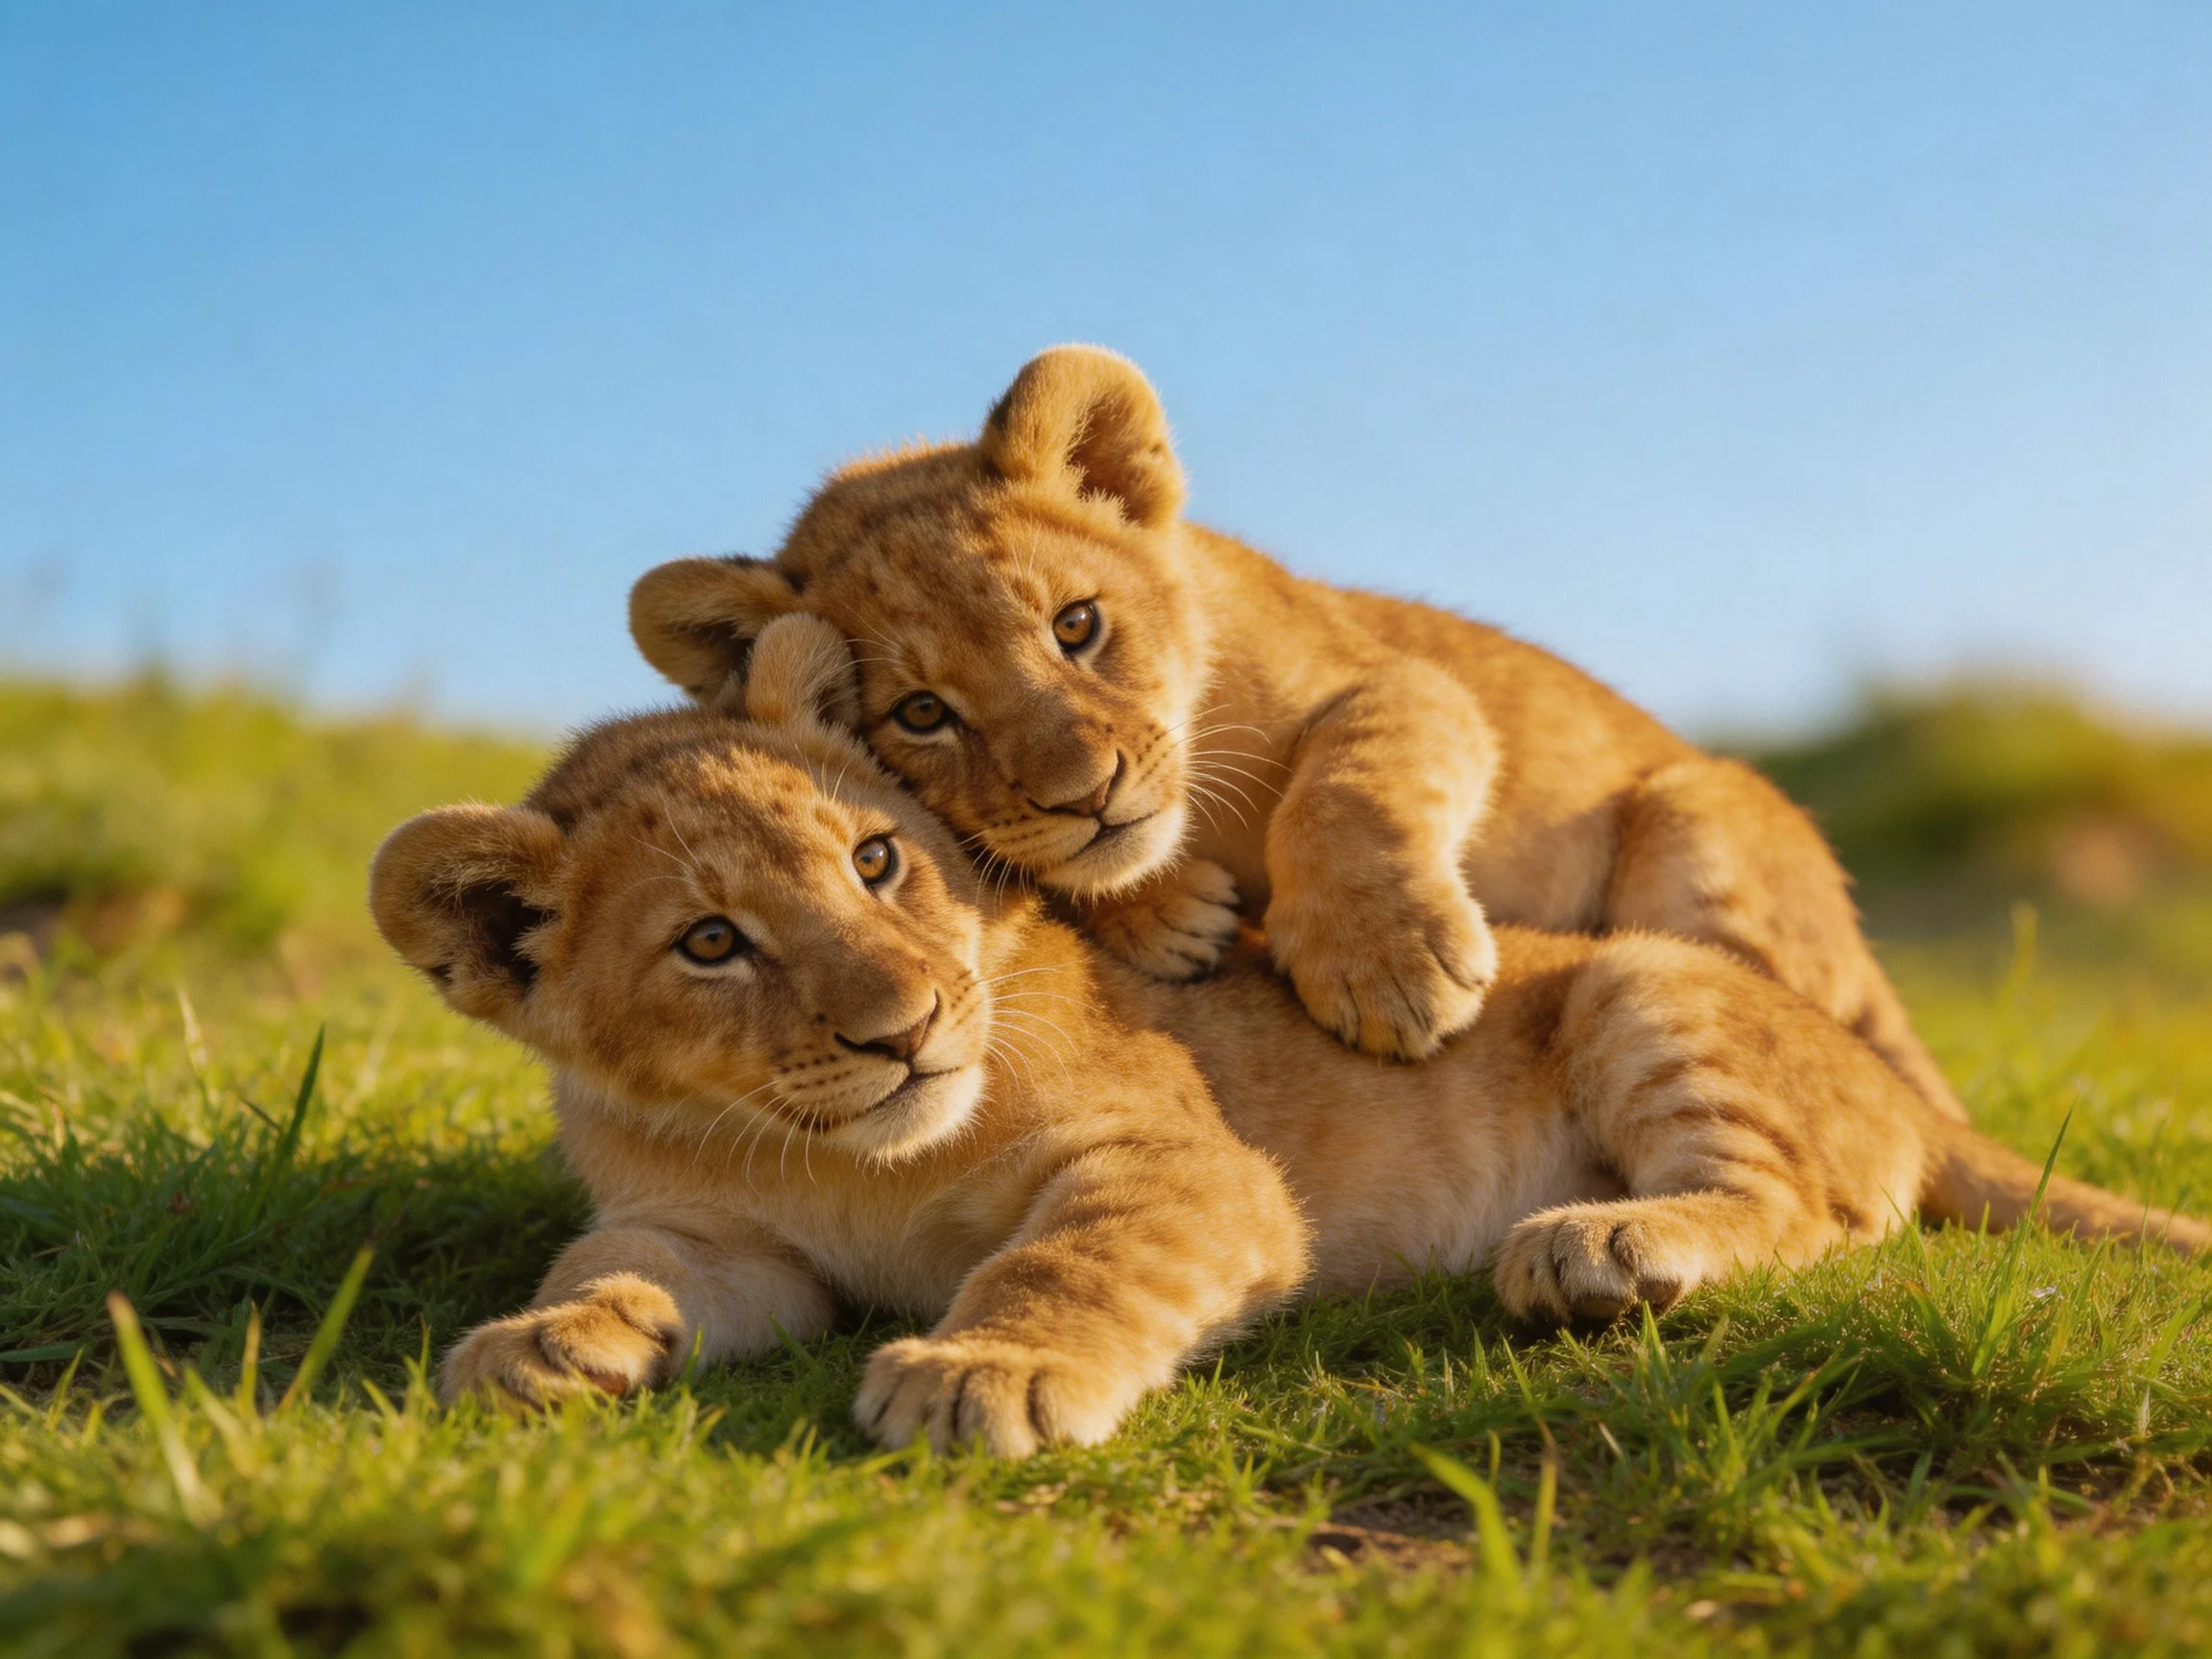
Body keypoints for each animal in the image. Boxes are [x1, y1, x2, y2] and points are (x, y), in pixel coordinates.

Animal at [370, 617, 2203, 1454]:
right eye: (710, 944)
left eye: (877, 860)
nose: (908, 1027)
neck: (845, 1159)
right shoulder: (714, 1233)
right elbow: (621, 1269)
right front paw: (537, 1344)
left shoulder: (1182, 1166)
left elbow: (1066, 1260)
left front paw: (985, 1368)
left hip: (1643, 985)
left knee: (1826, 1209)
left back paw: (1604, 1245)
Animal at [629, 346, 1962, 1119]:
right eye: (922, 714)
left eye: (1077, 626)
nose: (1086, 788)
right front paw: (1168, 914)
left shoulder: (1401, 681)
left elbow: (1350, 785)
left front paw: (1388, 967)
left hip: (1700, 821)